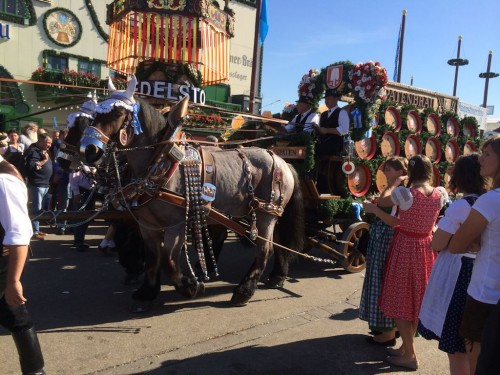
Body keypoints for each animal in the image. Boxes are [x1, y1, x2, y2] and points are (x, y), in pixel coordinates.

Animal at [81, 78, 304, 306]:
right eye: (96, 114)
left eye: (117, 113)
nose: (88, 150)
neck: (160, 161)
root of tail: (283, 162)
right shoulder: (147, 225)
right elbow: (153, 258)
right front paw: (148, 291)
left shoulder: (176, 224)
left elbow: (169, 260)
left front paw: (190, 286)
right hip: (265, 214)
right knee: (278, 242)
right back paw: (277, 276)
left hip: (266, 213)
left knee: (264, 249)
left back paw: (244, 290)